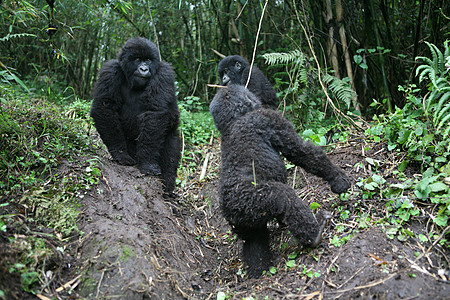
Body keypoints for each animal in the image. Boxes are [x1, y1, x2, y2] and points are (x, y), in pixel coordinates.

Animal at [90, 37, 180, 195]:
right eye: (138, 59)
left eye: (148, 60)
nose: (144, 69)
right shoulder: (111, 70)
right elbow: (105, 106)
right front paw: (121, 154)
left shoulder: (164, 73)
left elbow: (154, 114)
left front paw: (148, 162)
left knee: (170, 155)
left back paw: (167, 187)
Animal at [210, 84, 352, 276]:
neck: (233, 121)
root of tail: (229, 208)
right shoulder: (270, 118)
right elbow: (302, 151)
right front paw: (338, 179)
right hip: (252, 200)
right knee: (285, 198)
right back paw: (314, 235)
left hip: (242, 221)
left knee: (254, 240)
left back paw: (258, 271)